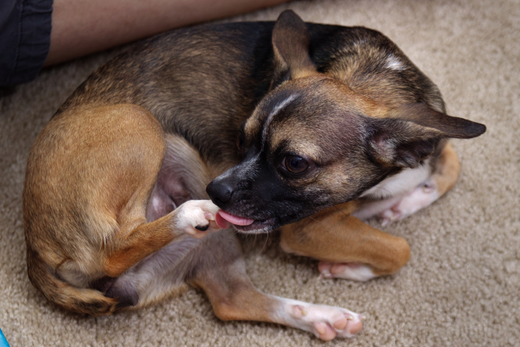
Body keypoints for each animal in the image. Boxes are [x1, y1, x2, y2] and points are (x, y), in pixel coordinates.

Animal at [22, 10, 486, 342]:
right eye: (242, 139)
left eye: (294, 163)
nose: (218, 188)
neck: (368, 79)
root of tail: (34, 247)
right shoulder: (305, 230)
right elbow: (397, 249)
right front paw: (353, 265)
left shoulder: (430, 140)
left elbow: (448, 166)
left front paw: (401, 203)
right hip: (141, 125)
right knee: (115, 246)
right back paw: (189, 214)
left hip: (214, 238)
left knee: (232, 299)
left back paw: (322, 317)